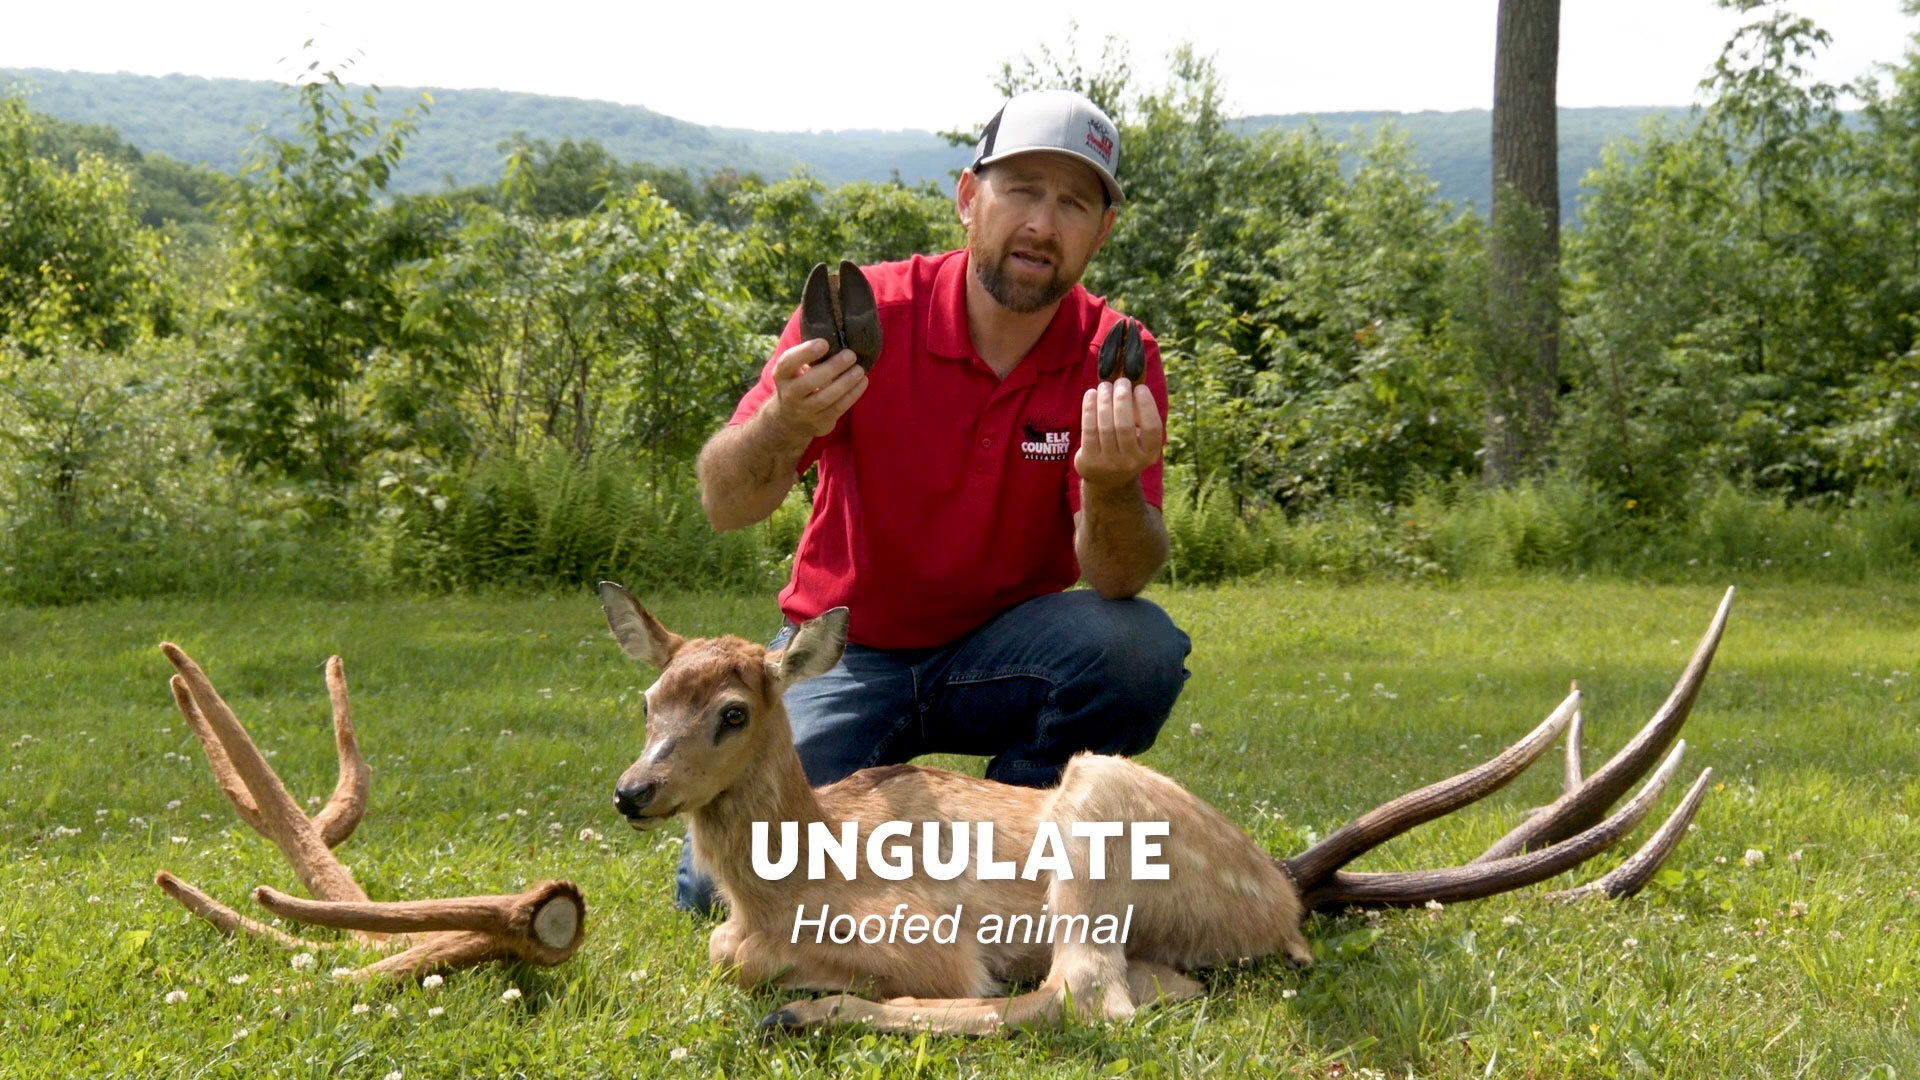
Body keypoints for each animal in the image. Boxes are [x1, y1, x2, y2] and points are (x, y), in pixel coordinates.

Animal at [591, 588, 1735, 1037]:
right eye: (647, 701)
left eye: (733, 711)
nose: (632, 791)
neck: (790, 879)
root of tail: (1285, 893)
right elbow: (721, 953)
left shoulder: (923, 934)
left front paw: (799, 994)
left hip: (1094, 815)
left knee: (1086, 998)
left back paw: (811, 1016)